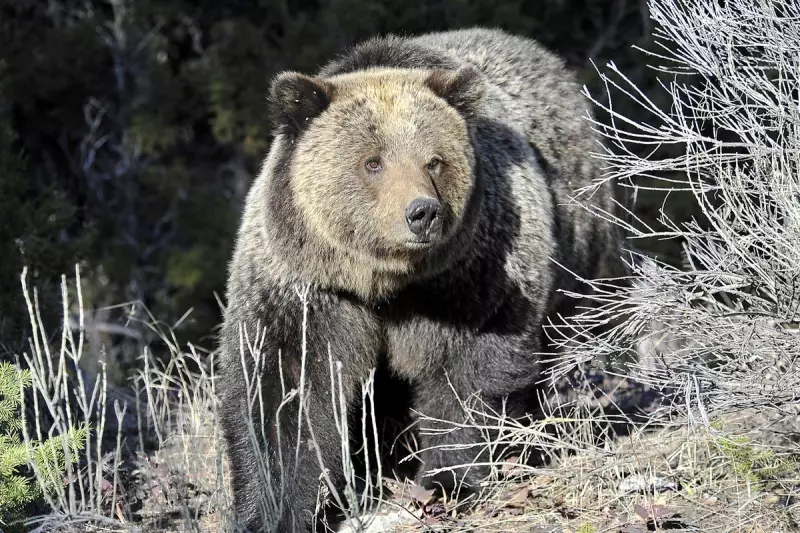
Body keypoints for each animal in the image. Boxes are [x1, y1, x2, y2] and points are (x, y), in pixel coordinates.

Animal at [218, 27, 619, 533]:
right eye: (372, 162)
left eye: (434, 161)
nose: (422, 213)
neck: (385, 282)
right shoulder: (307, 287)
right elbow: (285, 390)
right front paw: (272, 509)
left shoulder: (473, 277)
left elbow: (468, 375)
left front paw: (448, 482)